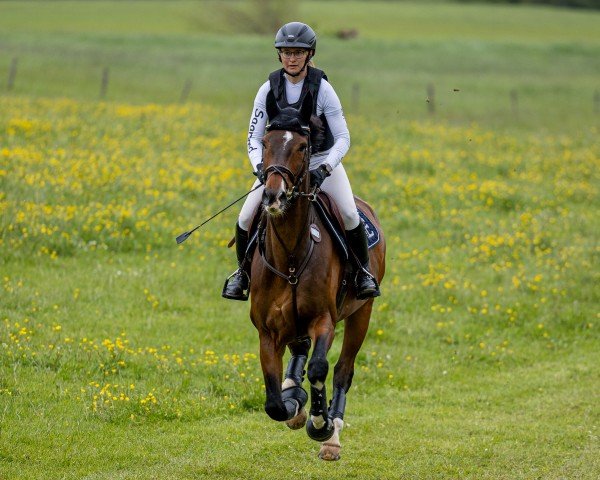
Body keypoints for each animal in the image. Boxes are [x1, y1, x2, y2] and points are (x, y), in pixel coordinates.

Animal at [247, 95, 384, 460]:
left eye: (303, 146)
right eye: (266, 143)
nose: (273, 195)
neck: (292, 257)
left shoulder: (324, 319)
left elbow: (320, 368)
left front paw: (319, 424)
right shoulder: (267, 331)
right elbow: (273, 404)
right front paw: (294, 403)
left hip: (361, 313)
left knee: (343, 370)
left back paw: (332, 434)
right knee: (299, 351)